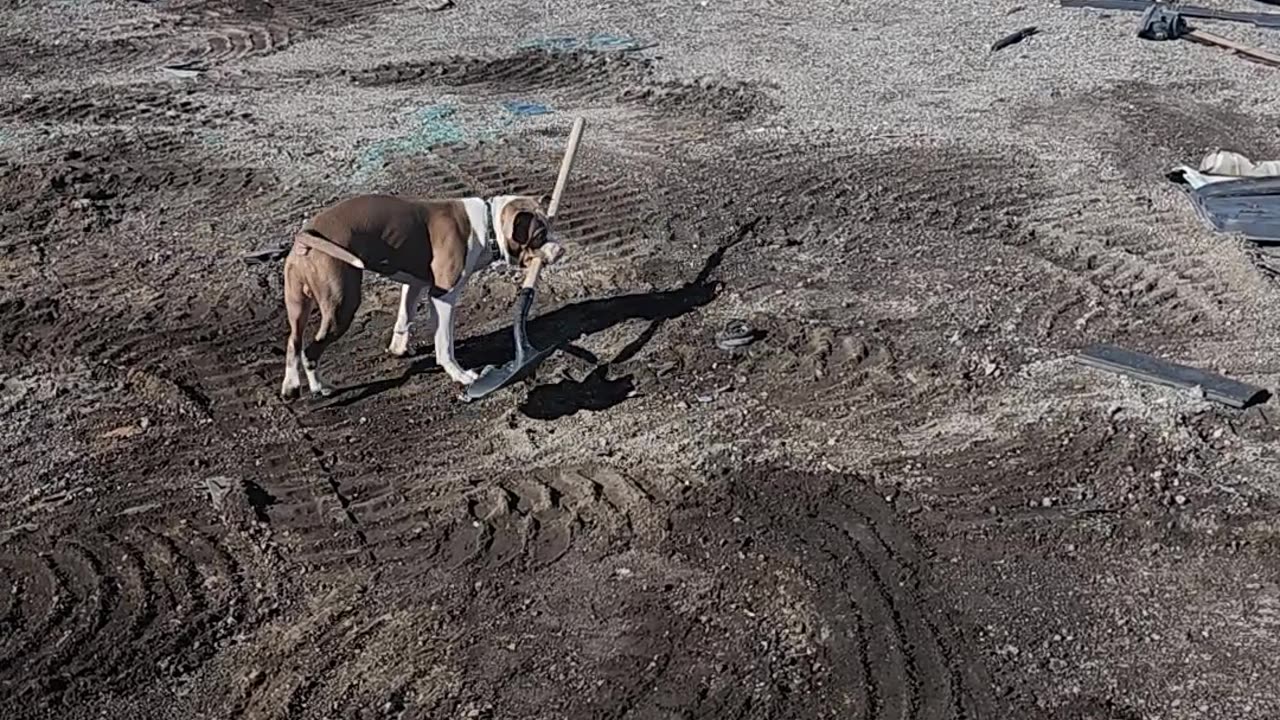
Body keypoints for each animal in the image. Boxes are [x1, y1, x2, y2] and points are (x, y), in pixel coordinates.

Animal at [280, 192, 560, 397]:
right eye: (539, 235)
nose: (560, 249)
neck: (487, 226)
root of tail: (306, 235)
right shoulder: (443, 296)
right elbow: (444, 343)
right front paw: (460, 375)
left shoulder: (414, 285)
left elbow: (405, 317)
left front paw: (398, 348)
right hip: (342, 306)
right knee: (309, 350)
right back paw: (319, 387)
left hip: (298, 305)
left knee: (294, 341)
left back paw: (290, 386)